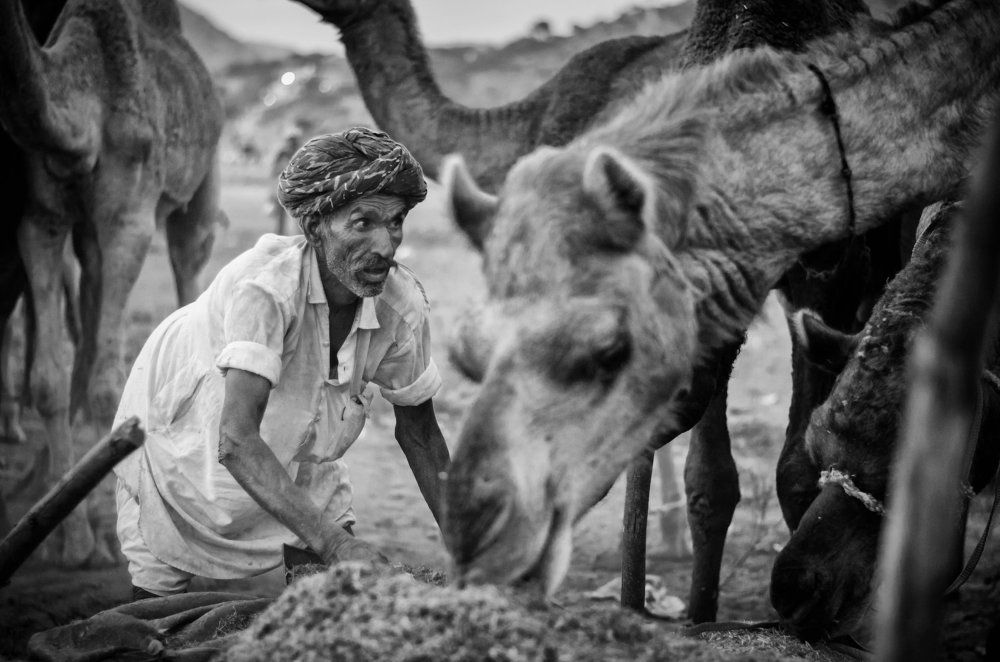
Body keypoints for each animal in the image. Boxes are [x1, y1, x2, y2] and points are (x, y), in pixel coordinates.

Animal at [0, 0, 223, 566]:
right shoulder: (41, 215)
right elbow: (48, 381)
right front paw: (72, 541)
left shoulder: (129, 219)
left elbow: (109, 389)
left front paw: (113, 542)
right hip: (87, 238)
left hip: (200, 182)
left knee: (189, 258)